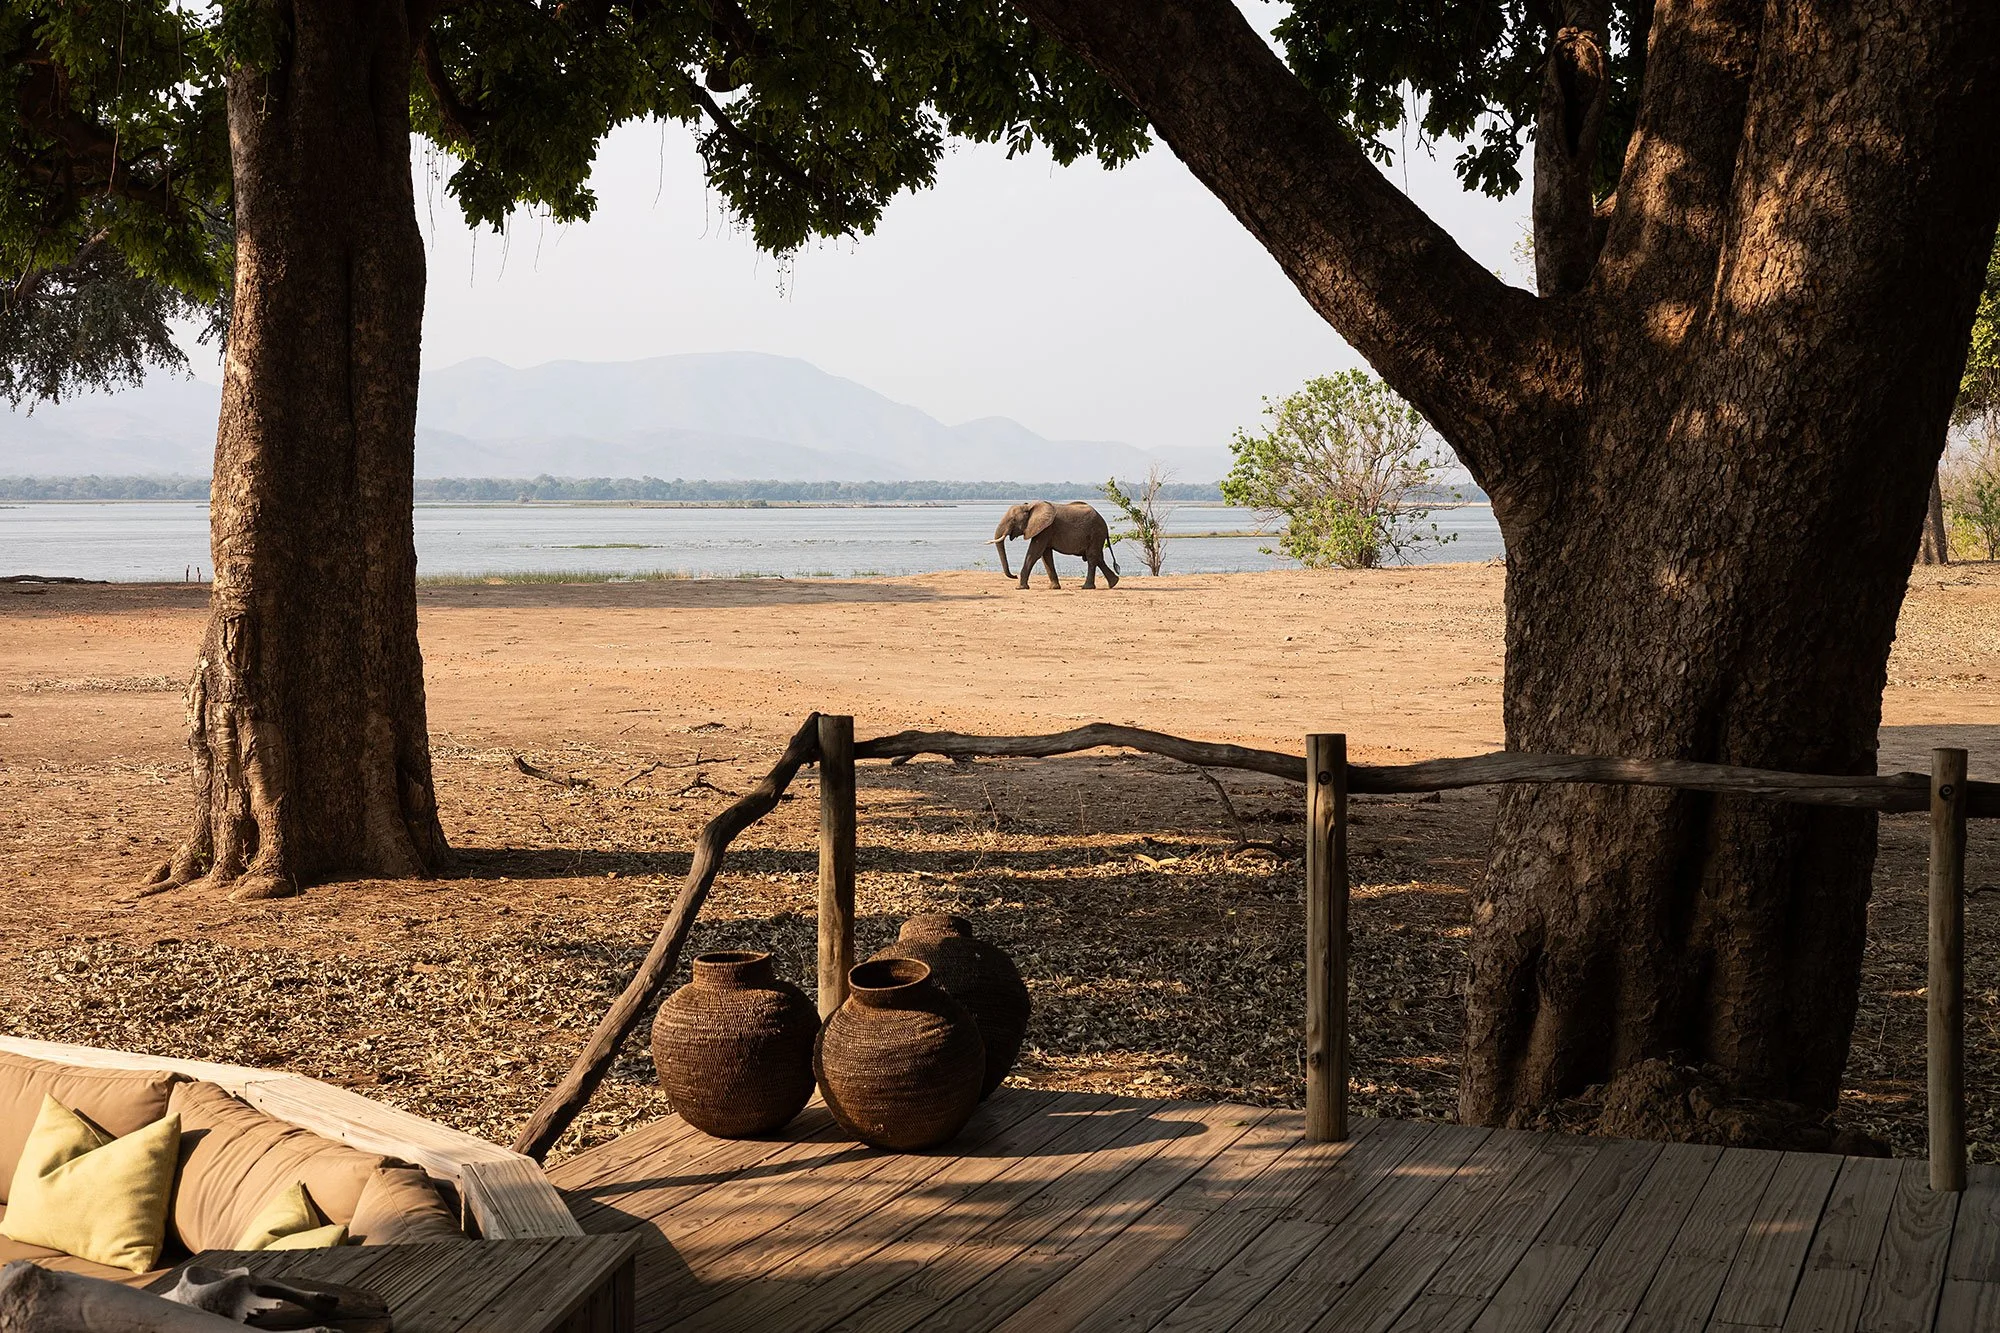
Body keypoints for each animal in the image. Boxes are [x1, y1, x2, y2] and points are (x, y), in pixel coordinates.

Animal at [991, 501, 1120, 589]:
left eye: (1013, 520)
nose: (1014, 576)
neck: (1029, 506)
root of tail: (1105, 524)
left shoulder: (1045, 529)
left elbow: (1035, 553)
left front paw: (1020, 588)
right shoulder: (1044, 530)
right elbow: (1045, 555)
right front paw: (1054, 588)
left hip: (1096, 533)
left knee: (1092, 557)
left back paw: (1087, 587)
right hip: (1096, 536)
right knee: (1097, 557)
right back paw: (1114, 583)